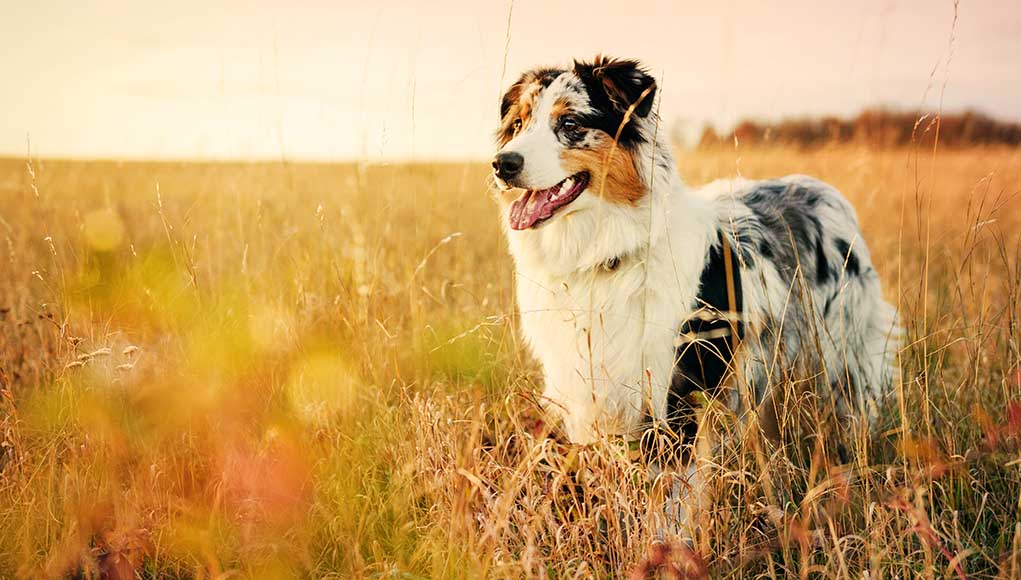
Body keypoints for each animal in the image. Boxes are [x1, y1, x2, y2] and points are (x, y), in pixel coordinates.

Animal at [490, 56, 898, 520]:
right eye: (518, 124)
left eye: (570, 122)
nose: (502, 164)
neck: (605, 256)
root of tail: (824, 189)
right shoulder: (588, 393)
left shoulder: (675, 397)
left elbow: (670, 502)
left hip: (840, 362)